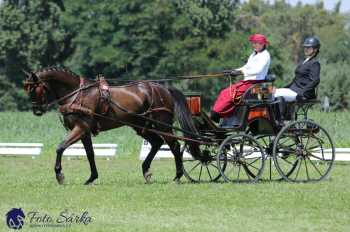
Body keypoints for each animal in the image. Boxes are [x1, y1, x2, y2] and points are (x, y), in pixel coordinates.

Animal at [23, 66, 200, 185]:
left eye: (33, 89)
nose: (36, 110)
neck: (77, 94)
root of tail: (164, 89)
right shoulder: (84, 131)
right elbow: (90, 154)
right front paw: (92, 177)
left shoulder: (80, 128)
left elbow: (60, 147)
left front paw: (59, 175)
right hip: (141, 126)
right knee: (157, 142)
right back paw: (146, 171)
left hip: (163, 125)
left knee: (174, 146)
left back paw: (177, 176)